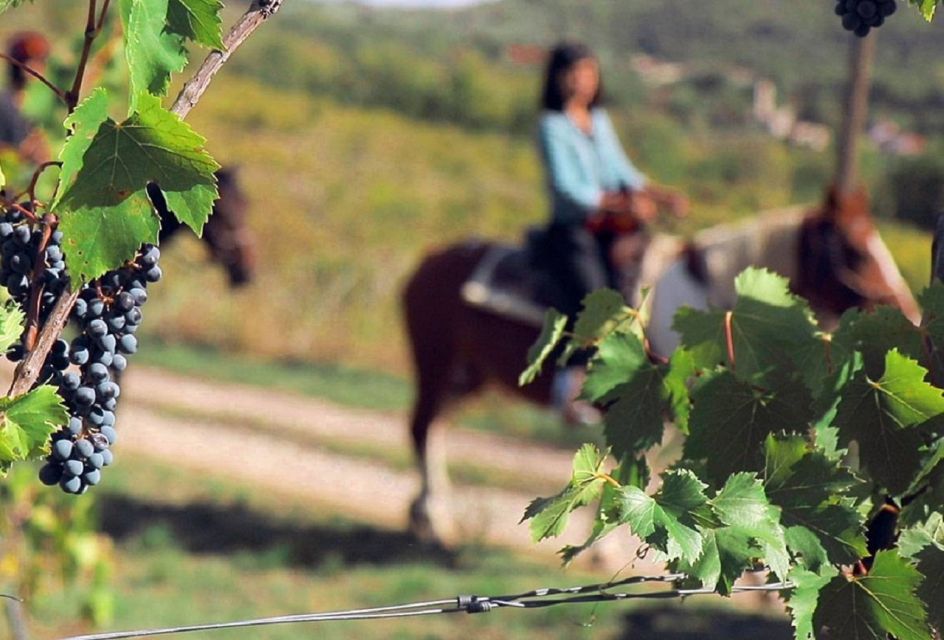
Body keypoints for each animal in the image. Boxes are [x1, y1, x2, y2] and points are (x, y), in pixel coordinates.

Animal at [404, 188, 920, 544]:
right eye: (855, 249)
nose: (907, 310)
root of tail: (426, 261)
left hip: (466, 377)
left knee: (437, 428)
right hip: (435, 364)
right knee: (423, 427)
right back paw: (432, 519)